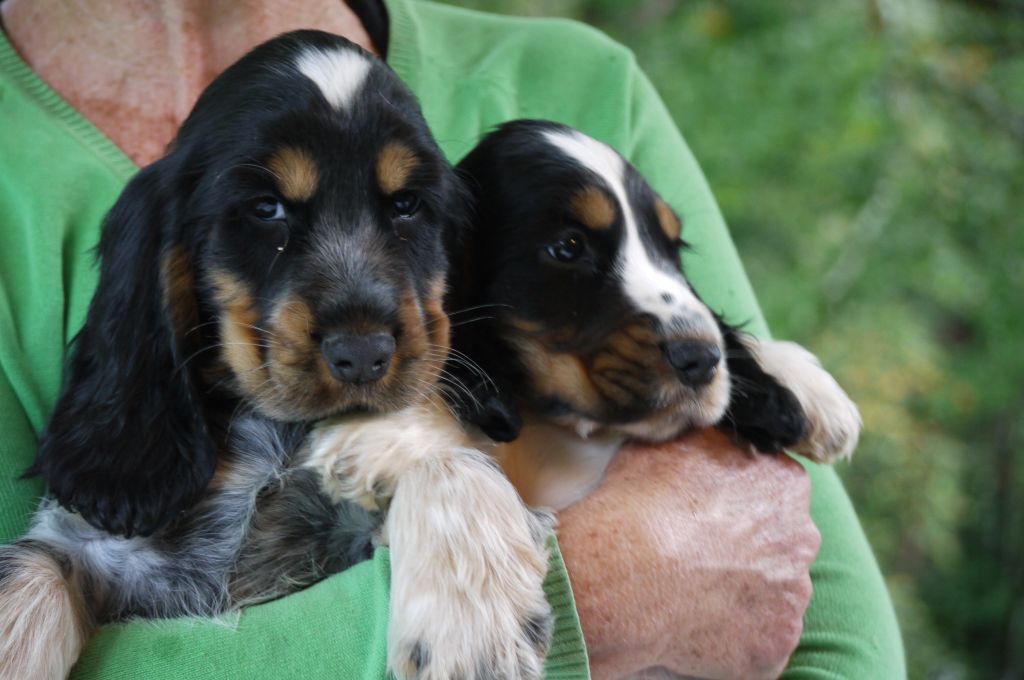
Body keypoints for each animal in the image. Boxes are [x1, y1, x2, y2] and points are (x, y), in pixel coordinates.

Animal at [0, 34, 552, 680]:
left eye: (407, 205)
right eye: (266, 209)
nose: (363, 355)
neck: (271, 442)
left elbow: (452, 456)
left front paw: (472, 629)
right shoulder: (96, 549)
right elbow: (30, 567)